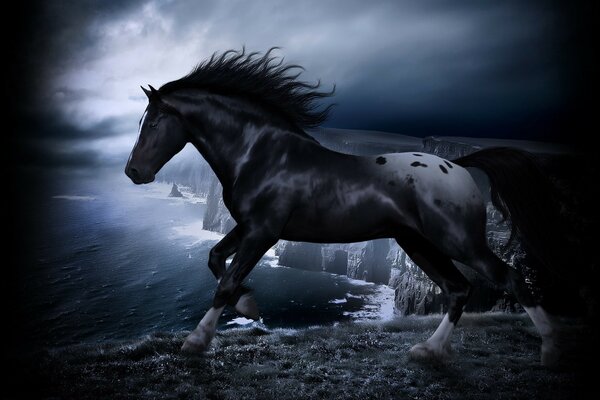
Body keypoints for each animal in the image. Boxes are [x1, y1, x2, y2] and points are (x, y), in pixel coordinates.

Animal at [124, 47, 564, 366]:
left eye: (152, 122)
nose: (132, 172)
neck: (262, 153)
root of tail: (457, 164)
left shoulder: (264, 231)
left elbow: (227, 280)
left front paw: (197, 341)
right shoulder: (248, 226)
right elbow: (215, 258)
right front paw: (249, 304)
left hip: (458, 241)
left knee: (509, 278)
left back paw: (550, 350)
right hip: (418, 244)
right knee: (458, 289)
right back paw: (429, 352)